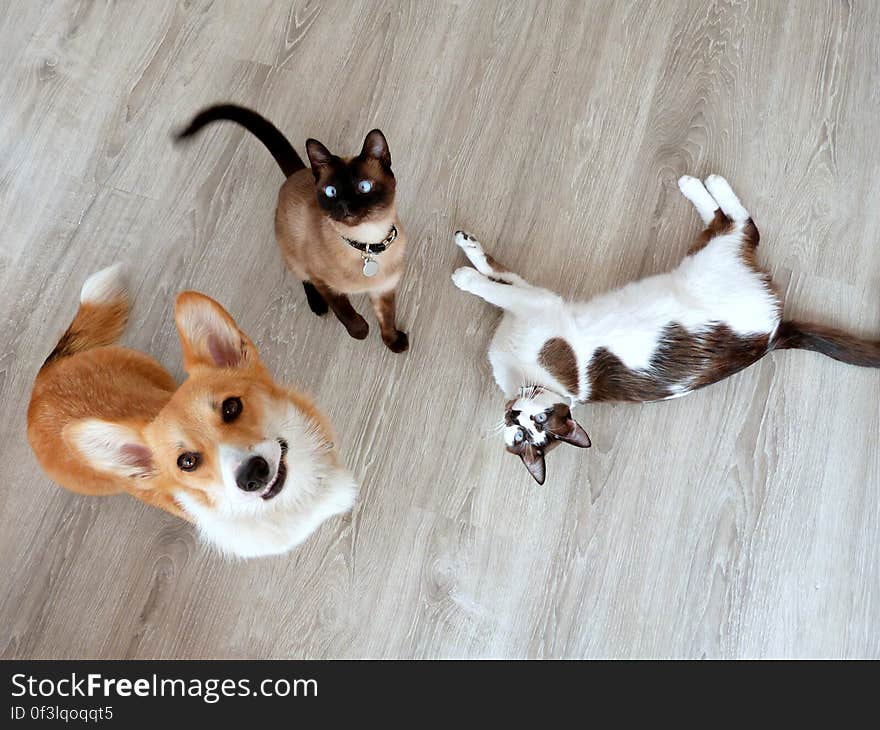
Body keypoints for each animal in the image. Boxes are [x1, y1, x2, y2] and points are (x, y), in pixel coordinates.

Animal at [176, 104, 410, 352]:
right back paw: (318, 306)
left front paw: (395, 343)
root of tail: (299, 173)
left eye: (364, 187)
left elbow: (387, 317)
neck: (366, 244)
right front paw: (360, 331)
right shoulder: (322, 280)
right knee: (303, 277)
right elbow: (343, 310)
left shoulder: (383, 288)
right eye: (331, 192)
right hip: (295, 254)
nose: (344, 205)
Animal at [454, 174, 880, 484]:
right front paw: (470, 254)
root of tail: (773, 338)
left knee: (742, 226)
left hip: (709, 265)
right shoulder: (529, 303)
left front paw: (465, 271)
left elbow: (495, 282)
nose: (514, 417)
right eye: (520, 437)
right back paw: (698, 186)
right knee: (732, 228)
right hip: (709, 259)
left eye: (538, 423)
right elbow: (500, 274)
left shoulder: (539, 305)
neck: (527, 380)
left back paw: (700, 183)